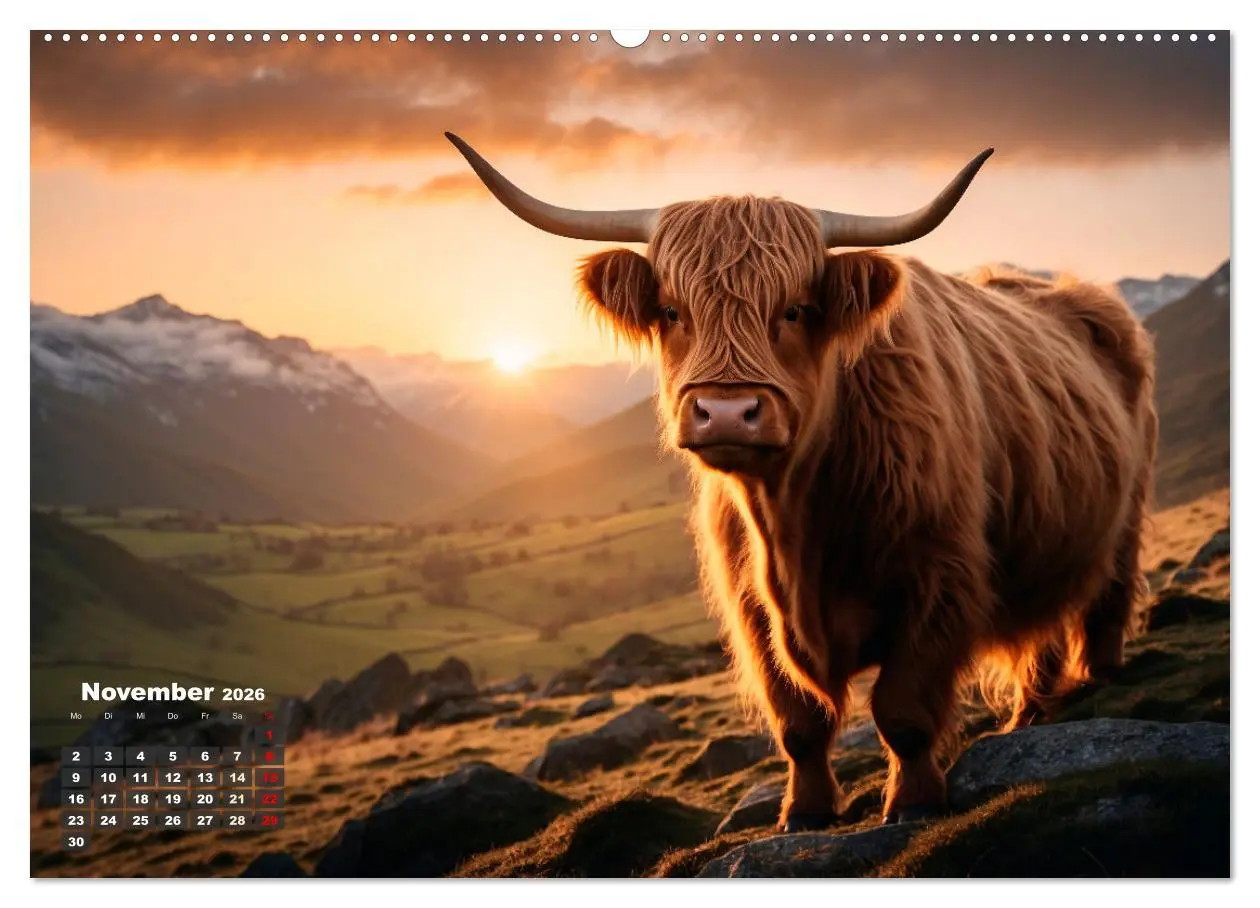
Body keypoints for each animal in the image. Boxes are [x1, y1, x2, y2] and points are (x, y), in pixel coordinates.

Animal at [445, 132, 1157, 830]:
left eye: (794, 310)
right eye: (672, 310)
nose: (726, 411)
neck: (792, 518)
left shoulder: (940, 576)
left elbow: (902, 708)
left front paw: (912, 800)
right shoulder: (750, 607)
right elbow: (799, 721)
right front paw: (805, 812)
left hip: (1123, 519)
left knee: (1103, 599)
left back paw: (1095, 680)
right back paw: (1030, 712)